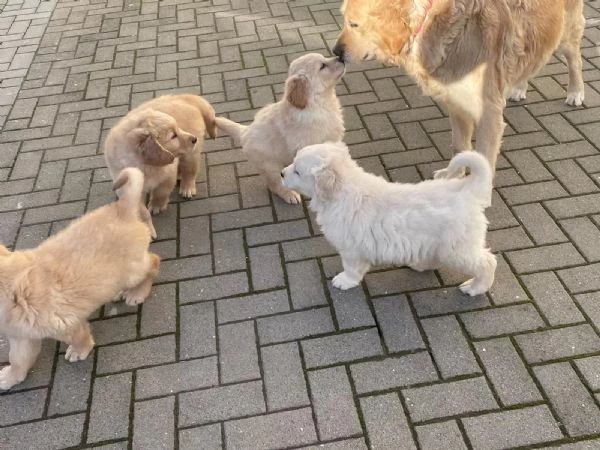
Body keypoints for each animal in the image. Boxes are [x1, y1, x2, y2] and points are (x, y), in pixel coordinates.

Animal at [0, 169, 159, 390]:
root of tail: (122, 208)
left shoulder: (65, 322)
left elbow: (78, 337)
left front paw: (79, 350)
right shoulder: (21, 335)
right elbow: (17, 359)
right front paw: (11, 376)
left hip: (133, 270)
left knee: (153, 262)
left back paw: (137, 293)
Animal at [104, 95, 217, 227]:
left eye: (177, 128)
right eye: (173, 136)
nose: (194, 139)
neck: (146, 165)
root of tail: (184, 97)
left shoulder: (169, 173)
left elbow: (161, 191)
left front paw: (156, 205)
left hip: (190, 154)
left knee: (190, 170)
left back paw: (187, 187)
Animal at [216, 52, 346, 204]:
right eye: (322, 66)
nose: (341, 57)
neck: (319, 104)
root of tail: (245, 132)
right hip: (270, 166)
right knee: (275, 184)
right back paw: (289, 194)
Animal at [282, 142, 496, 296]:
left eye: (298, 171)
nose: (282, 173)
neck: (343, 190)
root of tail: (468, 191)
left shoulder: (351, 249)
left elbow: (351, 268)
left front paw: (344, 281)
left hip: (457, 248)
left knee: (487, 262)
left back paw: (475, 288)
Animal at [330, 0, 584, 174]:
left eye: (354, 24)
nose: (335, 52)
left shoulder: (489, 114)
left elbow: (483, 158)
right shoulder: (456, 102)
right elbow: (459, 146)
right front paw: (455, 176)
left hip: (567, 33)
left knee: (575, 60)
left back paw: (575, 92)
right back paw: (520, 87)